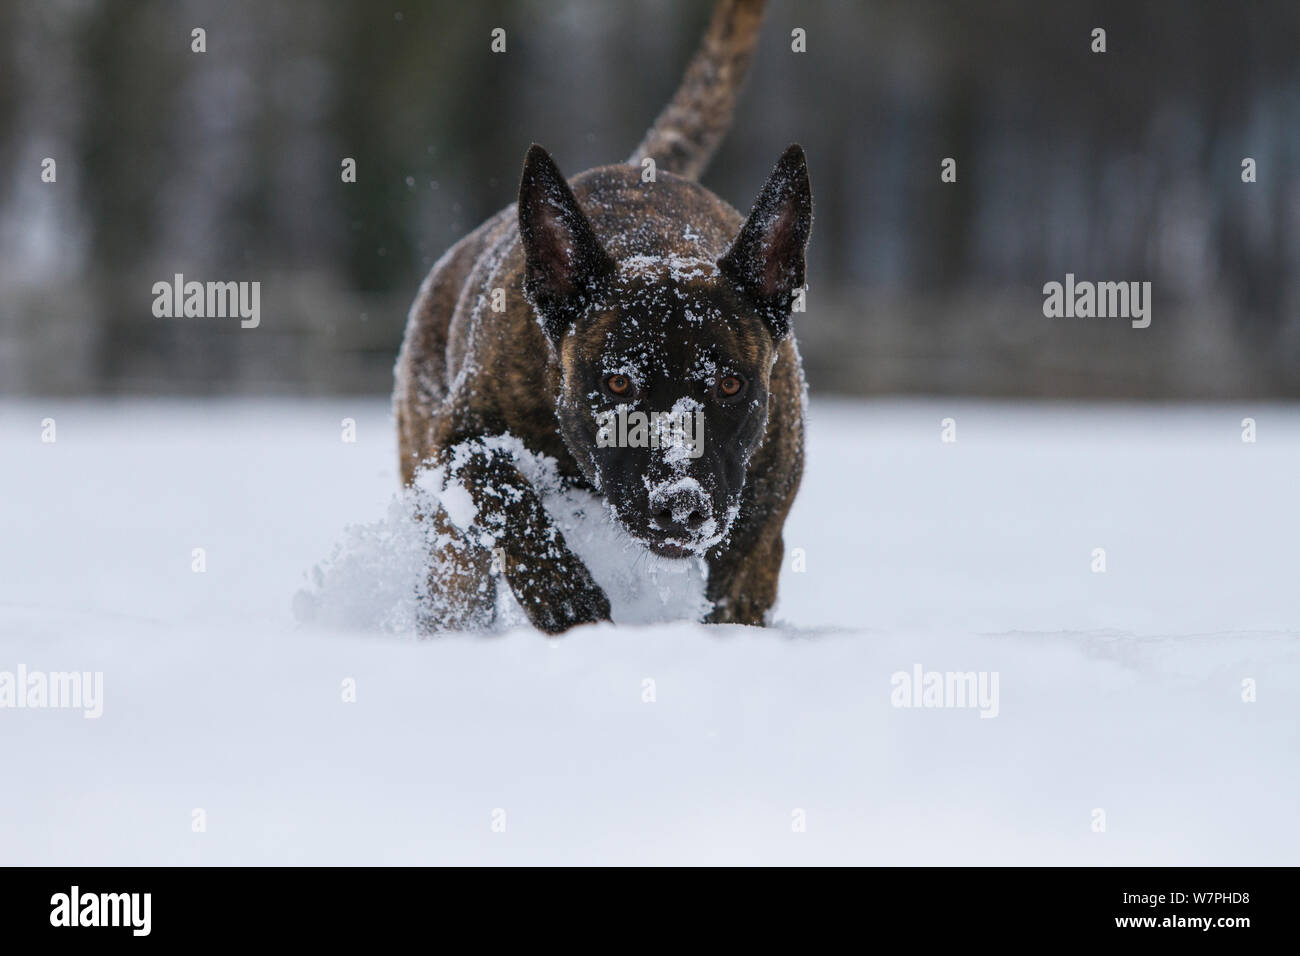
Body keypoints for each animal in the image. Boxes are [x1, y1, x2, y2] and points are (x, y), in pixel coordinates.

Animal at [390, 0, 806, 634]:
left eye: (731, 386)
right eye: (616, 383)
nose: (680, 505)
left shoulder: (755, 538)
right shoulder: (460, 438)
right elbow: (507, 494)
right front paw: (565, 595)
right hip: (446, 540)